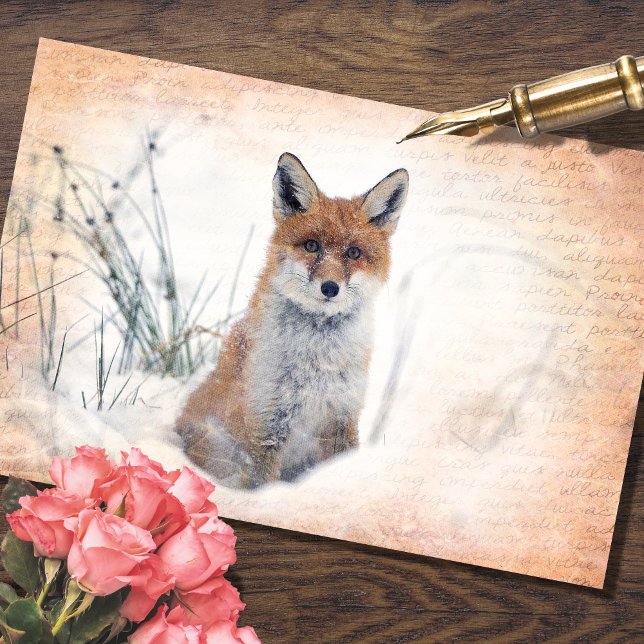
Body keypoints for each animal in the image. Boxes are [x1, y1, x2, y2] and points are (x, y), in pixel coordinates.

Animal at [176, 152, 409, 488]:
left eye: (353, 253)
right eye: (312, 246)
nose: (330, 288)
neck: (319, 362)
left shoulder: (343, 414)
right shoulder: (268, 423)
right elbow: (264, 484)